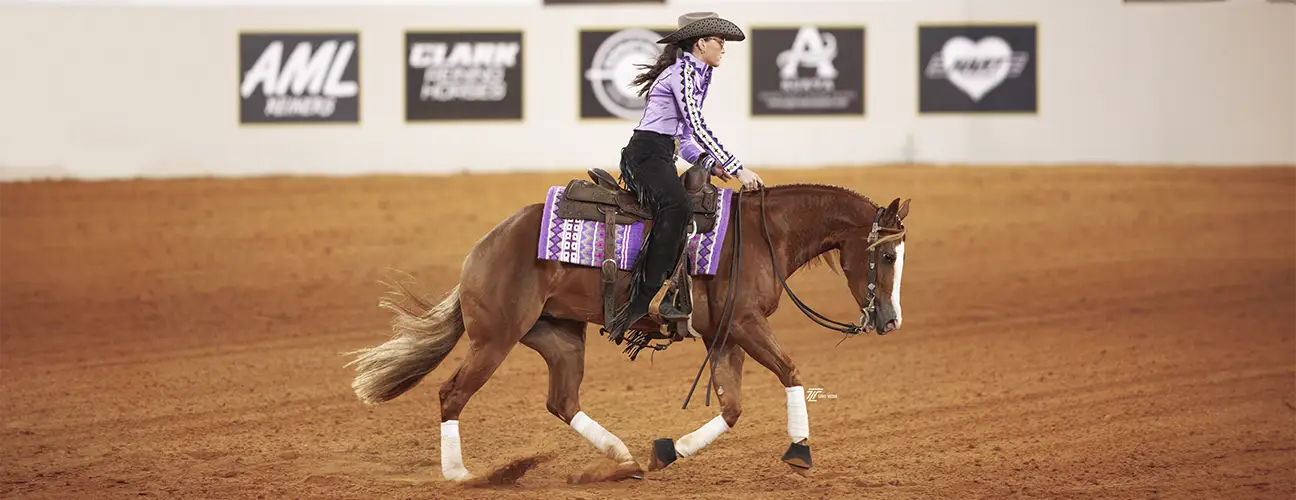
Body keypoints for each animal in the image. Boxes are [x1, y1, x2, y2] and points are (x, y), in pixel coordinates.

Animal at [345, 167, 910, 483]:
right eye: (887, 257)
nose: (890, 320)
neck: (759, 234)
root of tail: (481, 249)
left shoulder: (724, 334)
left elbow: (731, 408)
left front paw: (666, 452)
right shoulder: (747, 325)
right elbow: (791, 372)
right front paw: (799, 451)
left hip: (559, 337)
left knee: (562, 401)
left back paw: (622, 459)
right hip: (494, 339)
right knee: (452, 395)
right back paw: (462, 475)